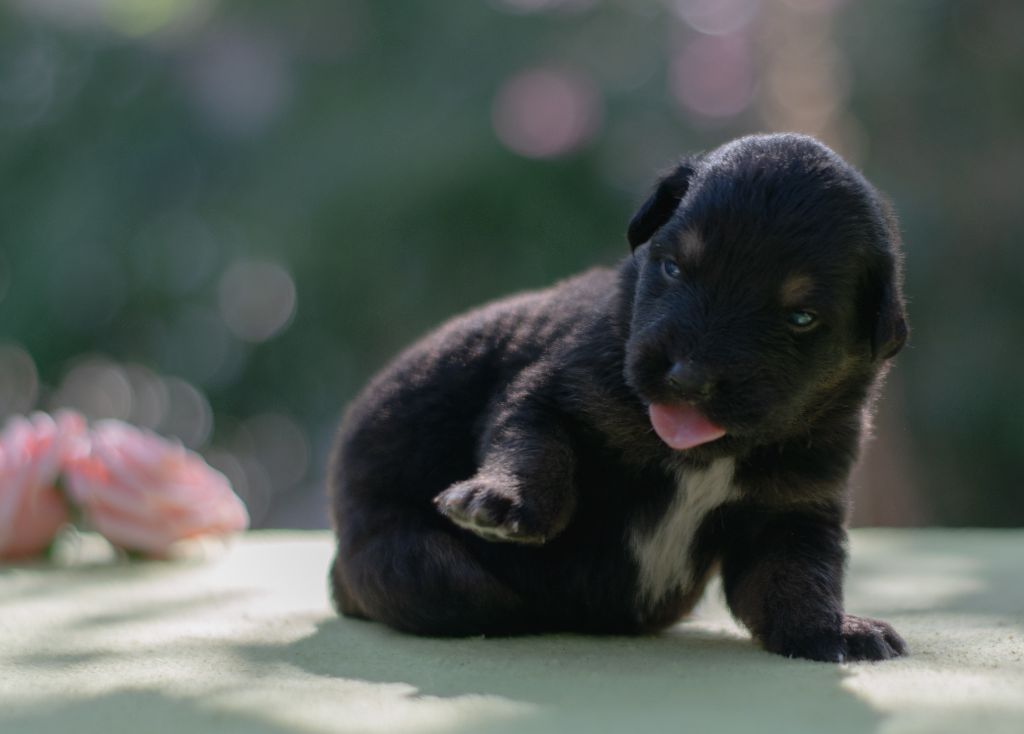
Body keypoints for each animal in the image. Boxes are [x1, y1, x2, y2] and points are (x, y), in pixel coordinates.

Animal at [325, 134, 905, 663]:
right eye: (674, 268)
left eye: (801, 318)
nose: (687, 379)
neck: (707, 455)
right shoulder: (554, 389)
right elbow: (537, 447)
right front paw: (501, 500)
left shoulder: (793, 505)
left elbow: (795, 576)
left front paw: (832, 630)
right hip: (409, 563)